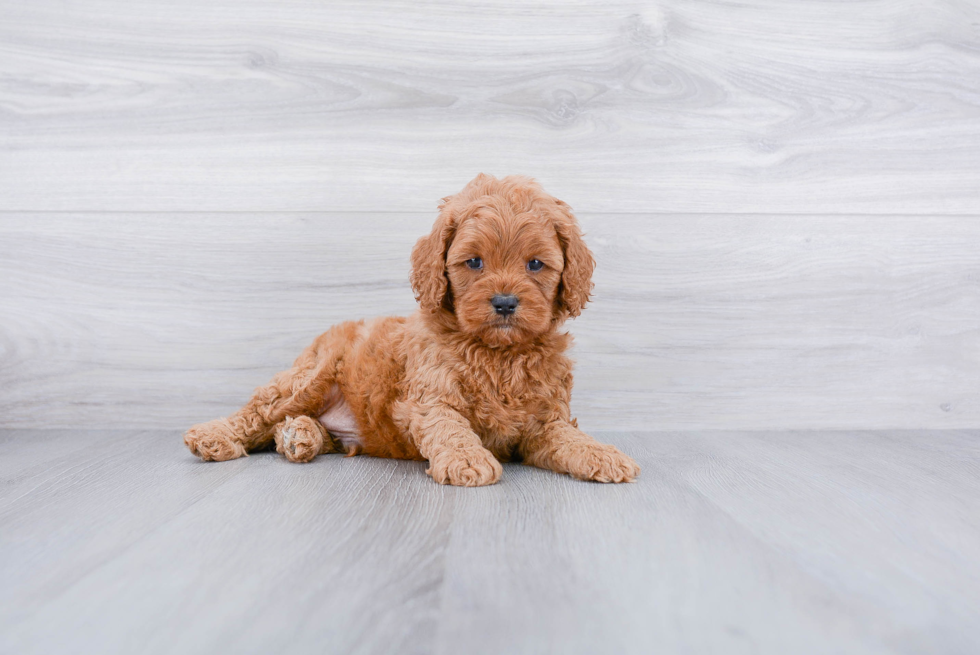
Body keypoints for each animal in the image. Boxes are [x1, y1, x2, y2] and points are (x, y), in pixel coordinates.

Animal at [185, 174, 640, 486]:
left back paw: (300, 436)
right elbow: (450, 429)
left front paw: (602, 454)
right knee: (257, 412)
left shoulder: (544, 420)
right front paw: (468, 461)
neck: (499, 352)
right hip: (308, 377)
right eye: (474, 262)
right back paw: (214, 436)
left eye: (535, 264)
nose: (505, 303)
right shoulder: (430, 397)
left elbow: (567, 436)